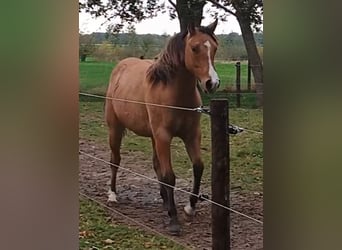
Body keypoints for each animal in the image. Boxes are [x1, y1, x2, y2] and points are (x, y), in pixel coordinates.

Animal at [104, 20, 220, 234]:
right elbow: (169, 176)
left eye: (215, 47)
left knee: (156, 164)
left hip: (152, 137)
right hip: (115, 129)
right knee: (115, 160)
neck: (173, 93)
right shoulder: (163, 136)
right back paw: (113, 195)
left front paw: (190, 208)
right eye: (194, 47)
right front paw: (173, 220)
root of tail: (121, 66)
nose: (212, 83)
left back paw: (165, 201)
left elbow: (198, 167)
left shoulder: (192, 135)